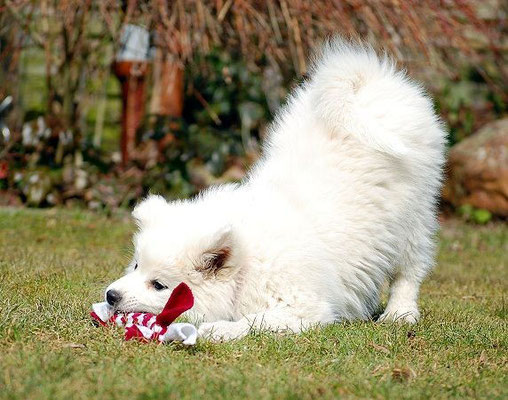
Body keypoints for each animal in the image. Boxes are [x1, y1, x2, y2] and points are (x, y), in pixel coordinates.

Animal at [106, 39, 444, 340]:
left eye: (159, 285)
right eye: (136, 265)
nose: (110, 295)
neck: (246, 265)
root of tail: (370, 81)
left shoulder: (304, 305)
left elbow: (256, 319)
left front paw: (220, 329)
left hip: (414, 215)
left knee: (409, 270)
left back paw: (400, 313)